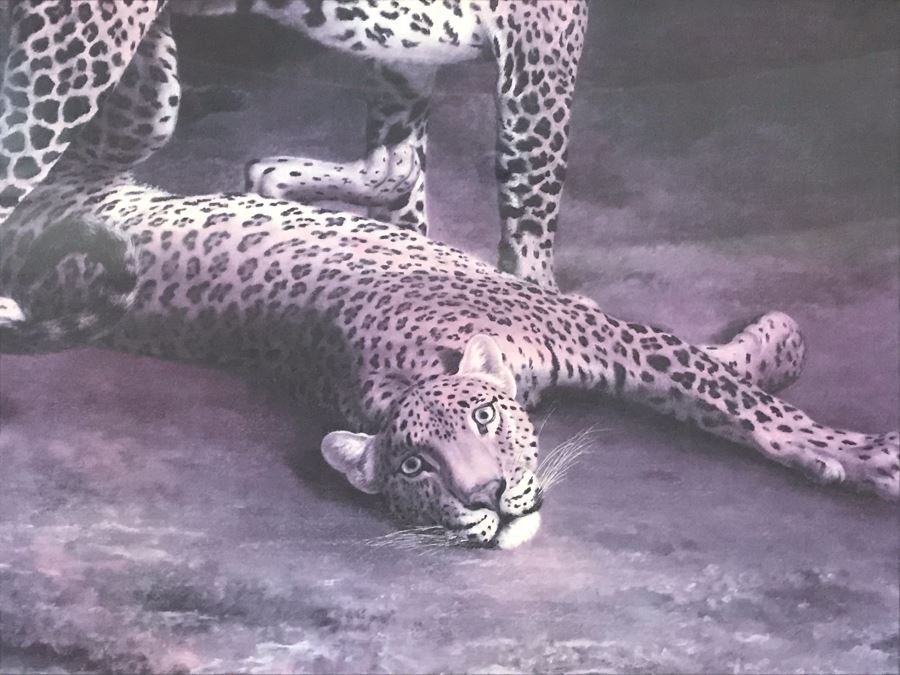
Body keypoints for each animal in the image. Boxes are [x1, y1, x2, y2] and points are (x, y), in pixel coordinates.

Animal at [0, 0, 588, 289]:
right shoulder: (541, 55)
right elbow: (535, 213)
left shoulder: (408, 63)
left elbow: (401, 183)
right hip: (76, 53)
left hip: (148, 80)